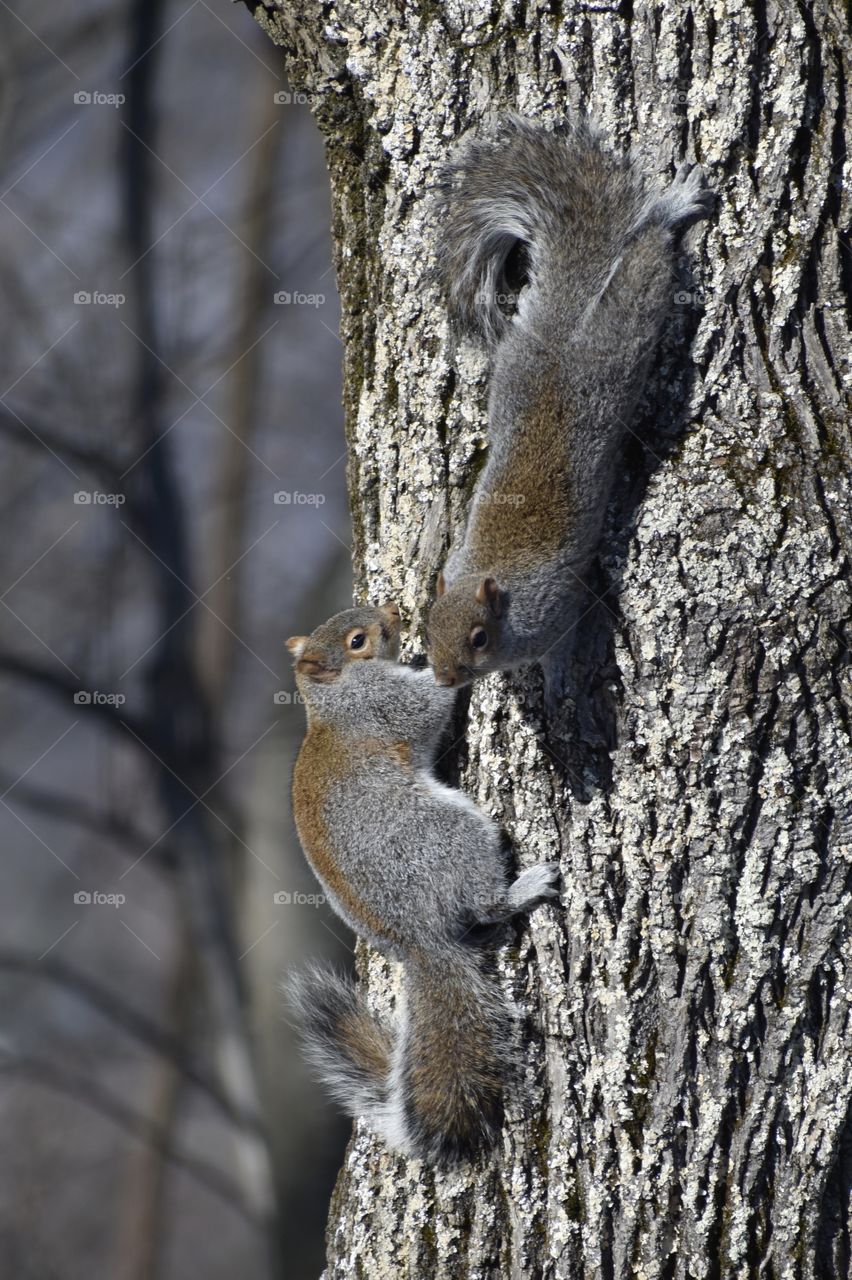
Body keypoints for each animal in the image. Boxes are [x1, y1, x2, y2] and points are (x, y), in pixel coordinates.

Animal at [284, 606, 560, 1165]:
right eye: (357, 640)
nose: (394, 610)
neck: (329, 696)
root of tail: (420, 940)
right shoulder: (381, 703)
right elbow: (427, 703)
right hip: (452, 835)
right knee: (485, 905)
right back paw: (524, 888)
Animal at [425, 117, 714, 687]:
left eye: (478, 638)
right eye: (427, 628)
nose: (445, 678)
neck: (495, 583)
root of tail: (563, 329)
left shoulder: (555, 607)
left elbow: (564, 639)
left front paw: (556, 676)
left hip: (617, 344)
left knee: (645, 264)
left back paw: (672, 208)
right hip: (514, 368)